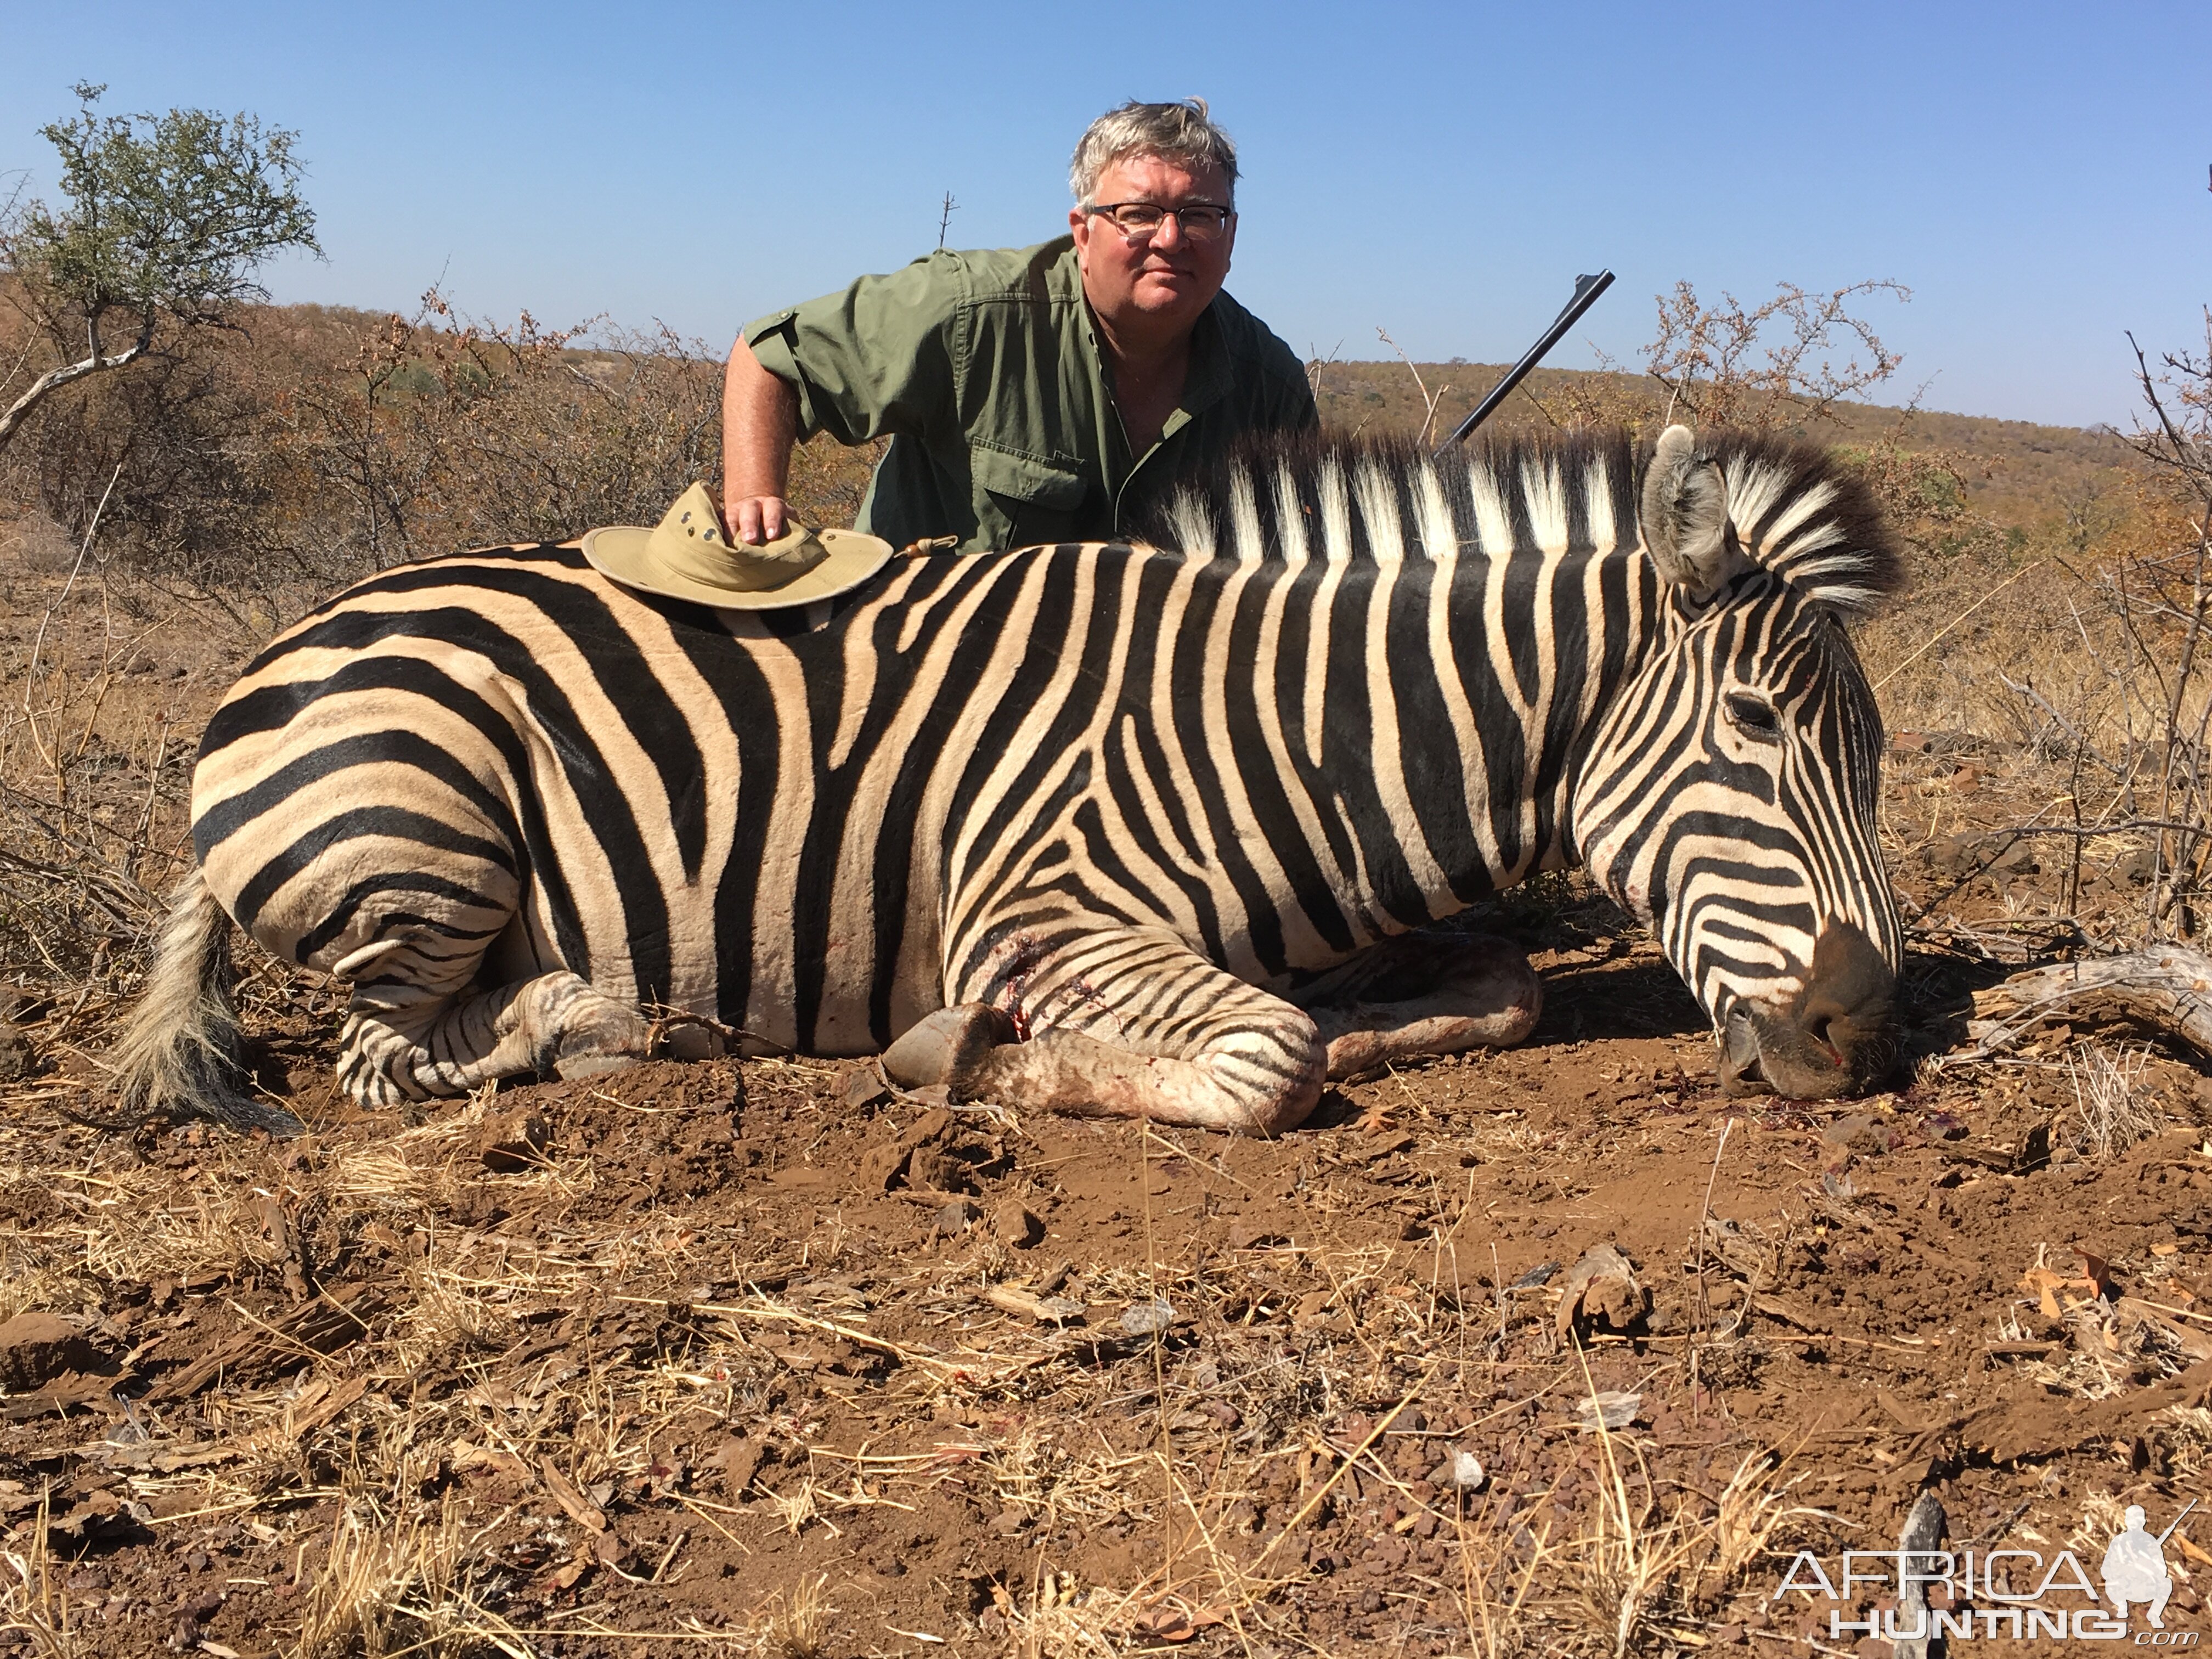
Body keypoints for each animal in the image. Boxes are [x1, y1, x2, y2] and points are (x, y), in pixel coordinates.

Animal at [108, 422, 1902, 1141]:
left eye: (1872, 758)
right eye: (1756, 724)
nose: (1867, 1030)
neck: (1290, 728)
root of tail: (287, 650)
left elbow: (1495, 993)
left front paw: (1386, 1025)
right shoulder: (1042, 917)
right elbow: (1268, 1057)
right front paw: (973, 1061)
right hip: (434, 837)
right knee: (391, 1057)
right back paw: (611, 1021)